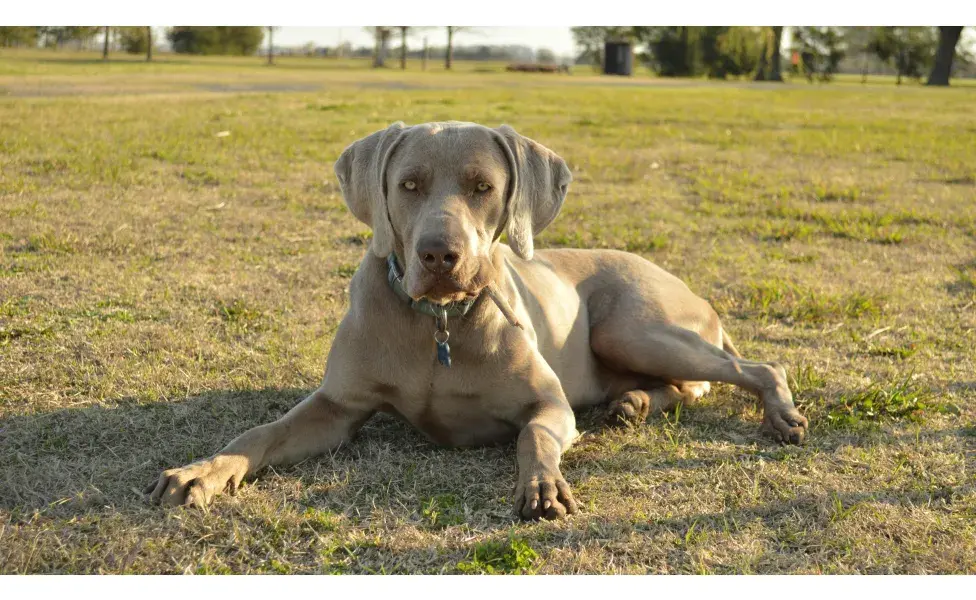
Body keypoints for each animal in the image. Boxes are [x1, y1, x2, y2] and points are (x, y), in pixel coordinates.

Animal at [145, 120, 808, 520]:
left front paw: (541, 485)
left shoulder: (548, 403)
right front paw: (201, 473)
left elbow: (533, 435)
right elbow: (257, 434)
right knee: (681, 386)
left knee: (754, 366)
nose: (440, 255)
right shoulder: (336, 407)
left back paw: (779, 414)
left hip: (631, 327)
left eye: (484, 186)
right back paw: (633, 404)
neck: (438, 322)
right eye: (409, 185)